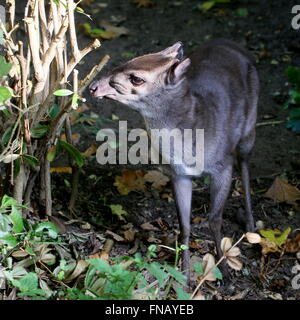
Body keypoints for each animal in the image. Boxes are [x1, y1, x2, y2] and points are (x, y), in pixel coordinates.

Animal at [88, 39, 258, 280]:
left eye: (136, 78)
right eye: (131, 59)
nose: (93, 87)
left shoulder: (222, 166)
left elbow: (215, 219)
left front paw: (223, 268)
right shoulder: (179, 174)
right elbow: (184, 225)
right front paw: (184, 275)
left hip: (249, 127)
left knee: (244, 163)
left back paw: (251, 226)